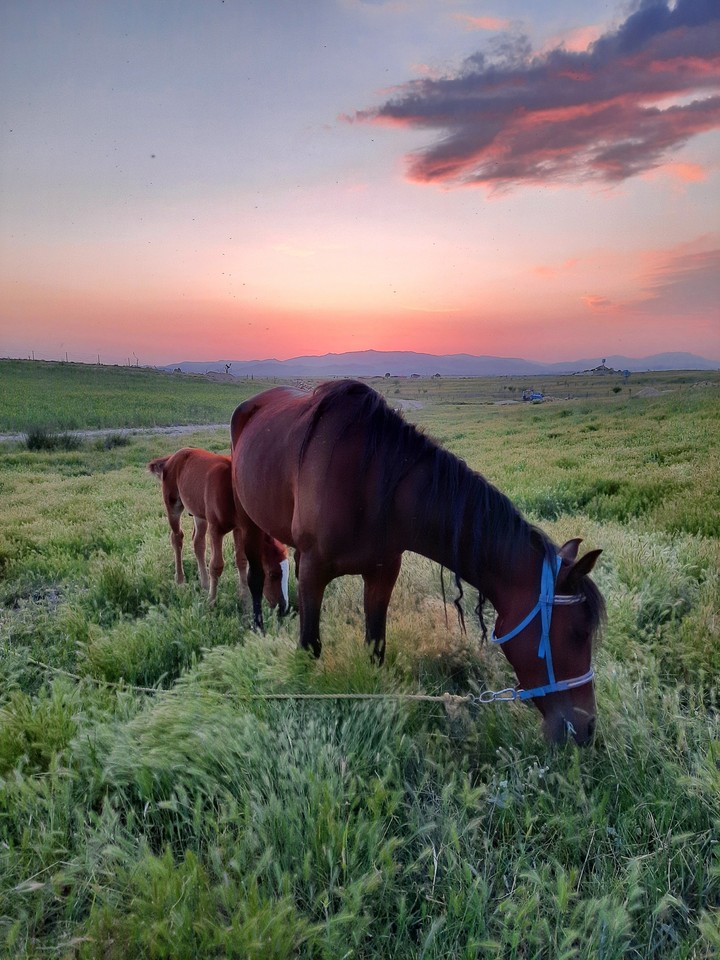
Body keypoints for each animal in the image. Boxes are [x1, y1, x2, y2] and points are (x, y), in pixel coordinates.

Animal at [148, 448, 289, 612]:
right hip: (173, 505)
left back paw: (204, 584)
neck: (231, 491)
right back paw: (180, 581)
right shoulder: (216, 529)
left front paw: (245, 601)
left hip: (199, 513)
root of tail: (172, 457)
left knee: (198, 543)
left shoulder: (239, 528)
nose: (283, 608)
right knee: (177, 537)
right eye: (273, 574)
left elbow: (241, 560)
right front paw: (211, 603)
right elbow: (216, 565)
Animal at [230, 380, 605, 746]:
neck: (369, 483)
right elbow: (310, 648)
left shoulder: (382, 574)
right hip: (247, 519)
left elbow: (376, 648)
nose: (587, 729)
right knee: (255, 574)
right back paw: (258, 626)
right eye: (577, 634)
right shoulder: (311, 570)